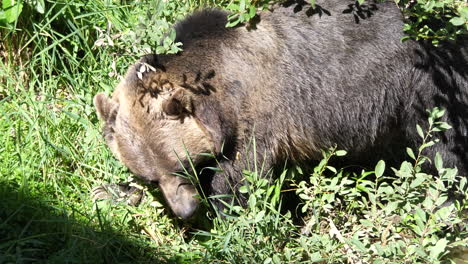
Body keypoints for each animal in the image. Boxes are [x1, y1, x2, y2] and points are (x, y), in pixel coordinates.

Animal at [94, 0, 468, 219]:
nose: (186, 211)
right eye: (150, 177)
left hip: (422, 88)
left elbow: (239, 175)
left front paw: (230, 213)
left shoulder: (257, 112)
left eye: (183, 165)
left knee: (445, 148)